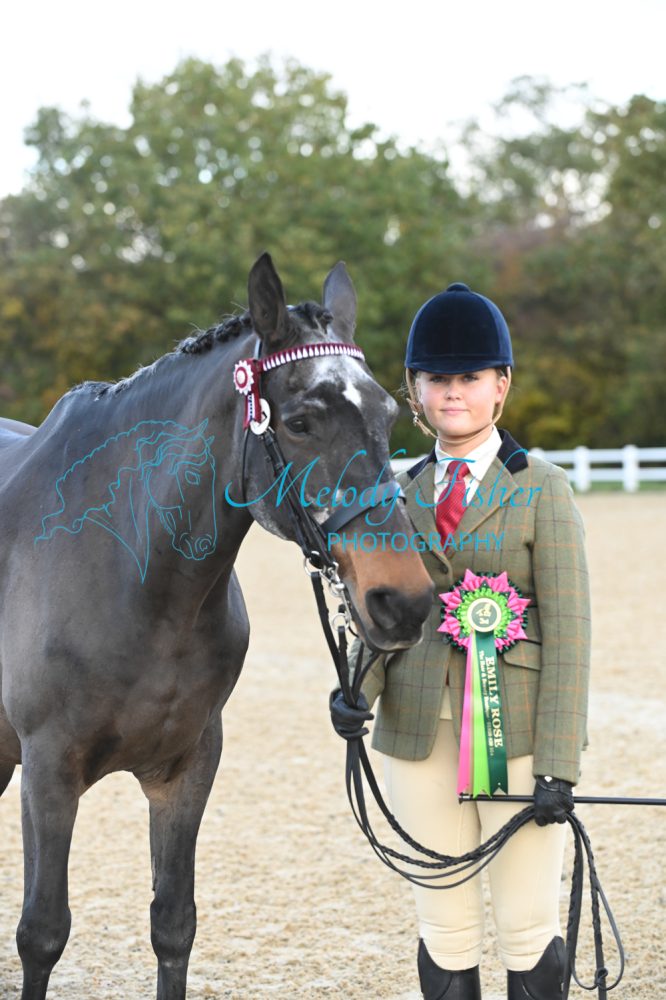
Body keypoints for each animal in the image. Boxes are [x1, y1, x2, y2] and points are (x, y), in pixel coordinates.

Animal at [0, 252, 433, 1000]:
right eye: (300, 421)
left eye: (386, 411)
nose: (401, 600)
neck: (137, 576)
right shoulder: (48, 770)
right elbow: (42, 932)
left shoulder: (189, 766)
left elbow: (174, 924)